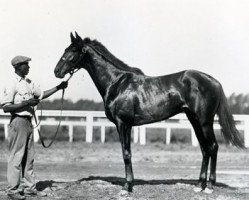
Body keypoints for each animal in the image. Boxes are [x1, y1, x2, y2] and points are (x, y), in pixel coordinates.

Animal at [54, 32, 243, 194]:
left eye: (72, 51)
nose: (56, 71)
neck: (116, 83)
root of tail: (214, 81)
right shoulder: (125, 125)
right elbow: (127, 153)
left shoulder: (123, 124)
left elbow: (126, 154)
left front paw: (127, 187)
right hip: (194, 120)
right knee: (204, 149)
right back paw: (198, 185)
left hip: (205, 121)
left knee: (213, 147)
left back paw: (209, 186)